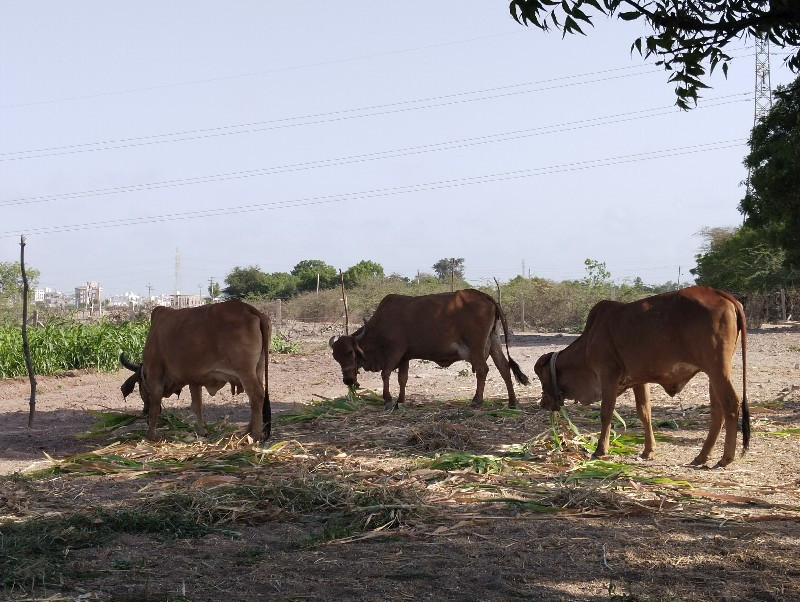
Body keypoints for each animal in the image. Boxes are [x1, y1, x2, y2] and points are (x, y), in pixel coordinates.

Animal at [119, 300, 274, 440]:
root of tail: (249, 308)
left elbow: (156, 405)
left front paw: (150, 435)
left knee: (256, 395)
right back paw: (247, 431)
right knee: (257, 397)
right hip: (258, 369)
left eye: (140, 387)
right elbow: (196, 405)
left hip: (245, 372)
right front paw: (202, 431)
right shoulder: (194, 379)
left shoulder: (155, 372)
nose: (144, 411)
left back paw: (255, 435)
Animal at [328, 288, 528, 410]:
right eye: (336, 357)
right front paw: (401, 401)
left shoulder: (395, 351)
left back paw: (476, 400)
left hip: (476, 346)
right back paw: (512, 402)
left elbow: (385, 374)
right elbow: (402, 379)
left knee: (482, 369)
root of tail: (484, 295)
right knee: (504, 368)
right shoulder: (405, 357)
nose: (348, 380)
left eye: (350, 352)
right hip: (493, 342)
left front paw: (388, 400)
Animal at [532, 284, 752, 464]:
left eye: (540, 376)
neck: (587, 343)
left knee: (730, 404)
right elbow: (644, 412)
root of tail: (721, 294)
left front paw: (600, 450)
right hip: (714, 372)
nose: (543, 403)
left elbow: (606, 413)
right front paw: (648, 451)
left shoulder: (608, 374)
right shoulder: (639, 380)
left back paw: (726, 458)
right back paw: (702, 456)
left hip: (717, 369)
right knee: (717, 410)